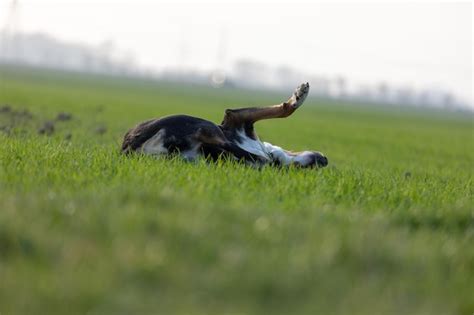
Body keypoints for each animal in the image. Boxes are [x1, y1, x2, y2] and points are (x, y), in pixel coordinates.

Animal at [122, 82, 328, 169]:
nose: (324, 161)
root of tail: (131, 146)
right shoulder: (236, 118)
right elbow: (284, 110)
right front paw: (300, 95)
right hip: (209, 128)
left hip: (205, 132)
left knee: (225, 147)